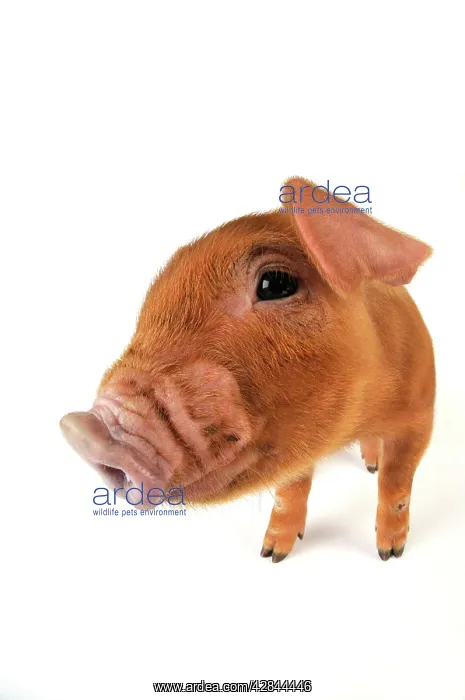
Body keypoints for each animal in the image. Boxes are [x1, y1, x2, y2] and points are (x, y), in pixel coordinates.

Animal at [60, 177, 435, 563]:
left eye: (276, 283)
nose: (79, 428)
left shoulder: (421, 414)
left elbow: (396, 481)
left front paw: (389, 553)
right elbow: (290, 490)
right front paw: (271, 555)